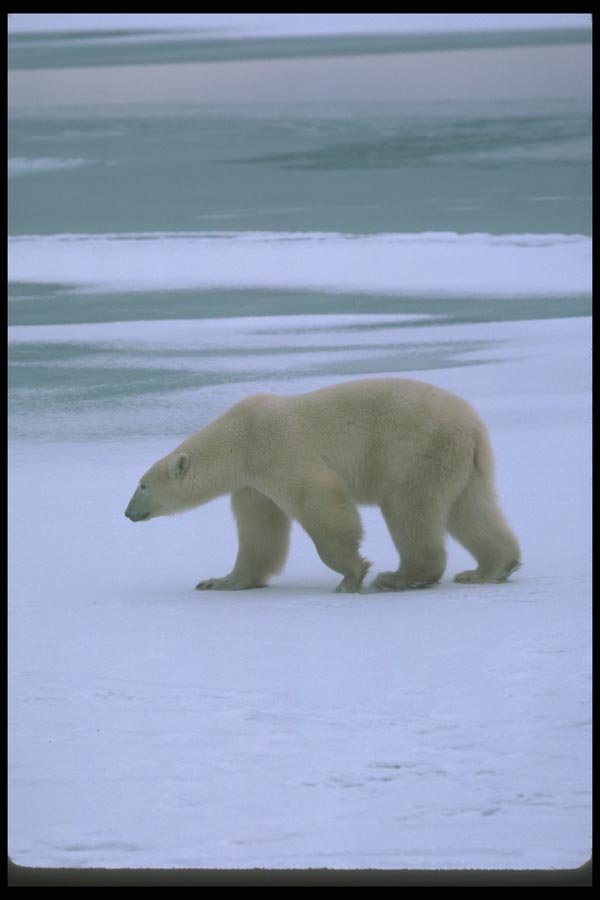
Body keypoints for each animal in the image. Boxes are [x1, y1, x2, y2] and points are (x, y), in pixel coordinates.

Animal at [124, 378, 521, 593]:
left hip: (415, 449)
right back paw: (488, 569)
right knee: (471, 509)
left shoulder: (278, 450)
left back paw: (399, 577)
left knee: (408, 506)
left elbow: (318, 501)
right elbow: (259, 532)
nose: (127, 513)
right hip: (462, 463)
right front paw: (219, 581)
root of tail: (471, 425)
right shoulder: (253, 485)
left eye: (142, 485)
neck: (240, 438)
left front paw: (352, 573)